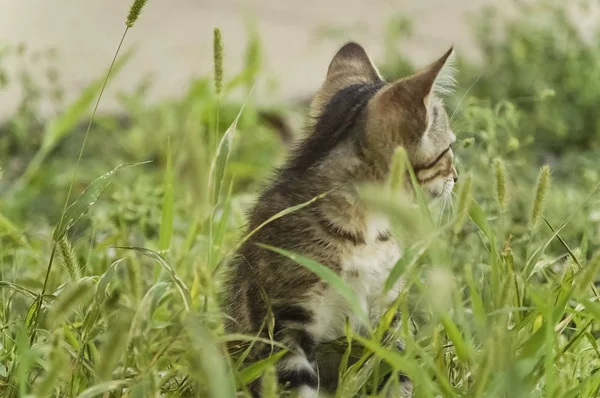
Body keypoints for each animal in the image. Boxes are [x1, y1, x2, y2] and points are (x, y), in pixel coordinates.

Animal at [220, 42, 460, 396]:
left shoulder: (387, 313)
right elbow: (296, 385)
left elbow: (398, 374)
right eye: (447, 151)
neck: (365, 232)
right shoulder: (285, 324)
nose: (456, 177)